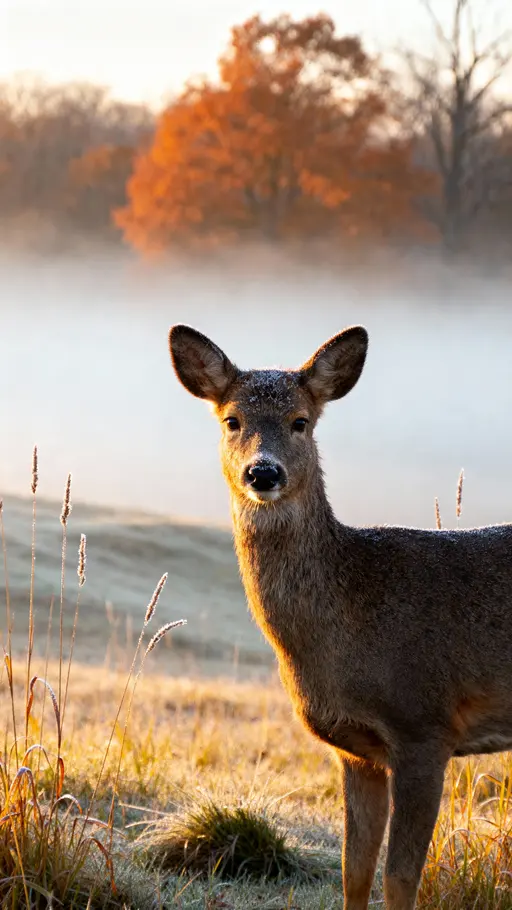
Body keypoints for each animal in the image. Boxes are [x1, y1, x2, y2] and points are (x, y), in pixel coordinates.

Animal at [168, 323, 512, 910]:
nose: (263, 471)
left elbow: (400, 877)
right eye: (231, 420)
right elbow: (355, 871)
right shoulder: (356, 750)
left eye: (300, 421)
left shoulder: (425, 725)